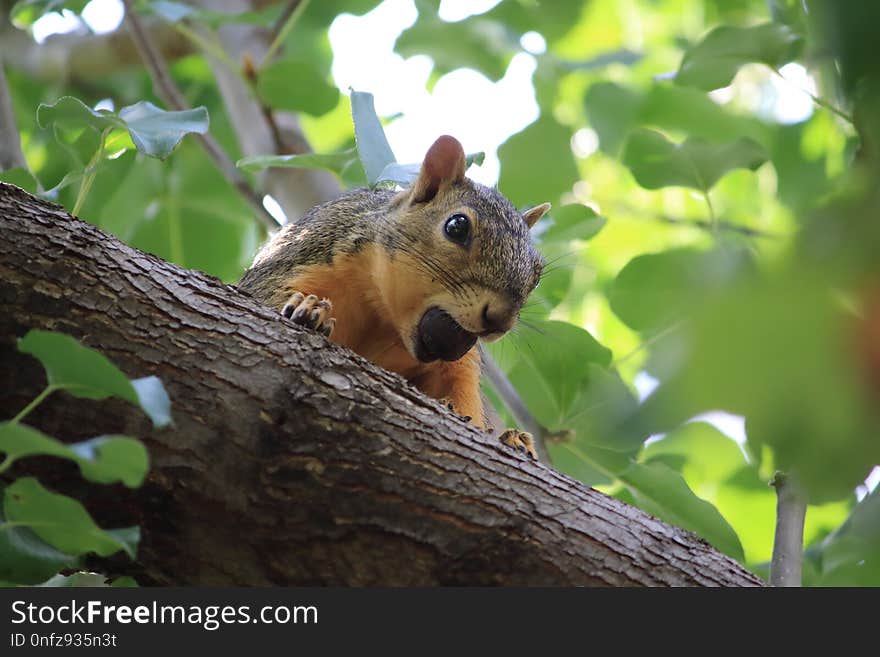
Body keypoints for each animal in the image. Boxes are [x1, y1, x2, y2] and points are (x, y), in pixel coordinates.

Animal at [237, 135, 548, 456]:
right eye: (457, 226)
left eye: (537, 275)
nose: (500, 320)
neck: (384, 316)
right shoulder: (302, 258)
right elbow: (262, 297)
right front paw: (308, 310)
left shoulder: (460, 365)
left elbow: (464, 401)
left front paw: (508, 437)